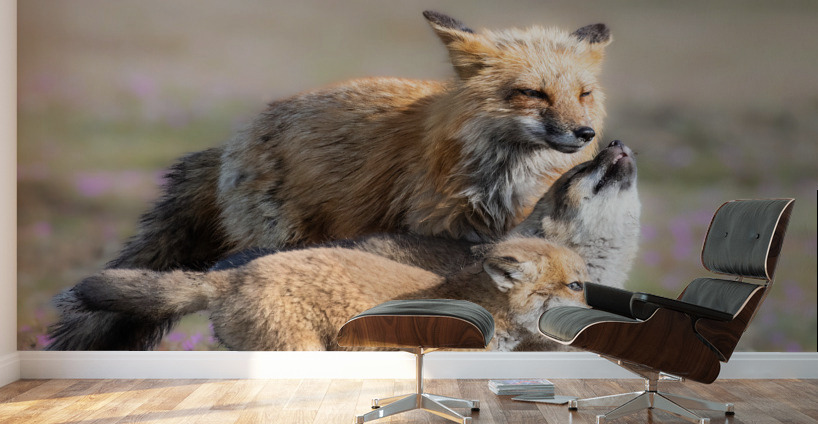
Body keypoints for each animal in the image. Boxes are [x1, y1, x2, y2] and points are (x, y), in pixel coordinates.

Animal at [48, 11, 613, 350]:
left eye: (583, 94)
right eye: (533, 93)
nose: (585, 134)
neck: (503, 177)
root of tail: (238, 135)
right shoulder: (436, 234)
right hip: (285, 241)